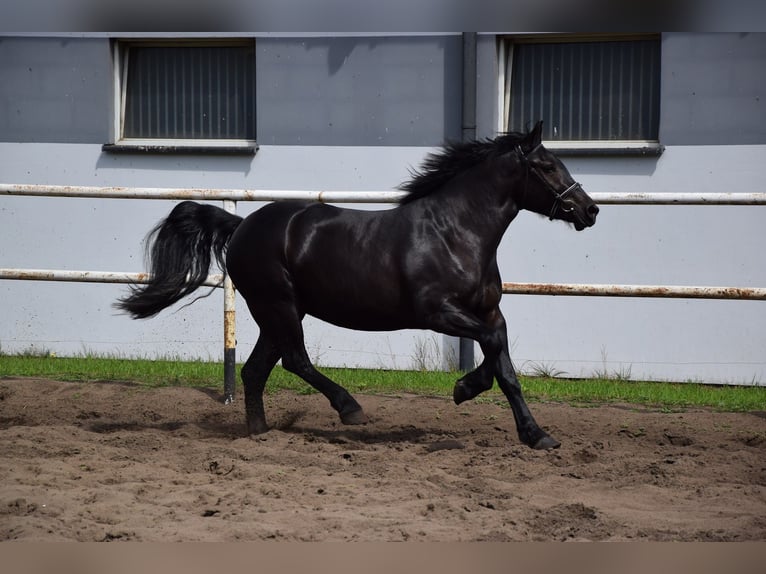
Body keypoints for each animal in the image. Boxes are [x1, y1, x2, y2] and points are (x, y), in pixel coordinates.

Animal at [116, 121, 599, 450]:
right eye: (546, 166)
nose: (589, 210)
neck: (455, 232)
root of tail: (241, 226)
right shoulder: (438, 312)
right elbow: (493, 354)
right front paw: (463, 389)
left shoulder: (491, 313)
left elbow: (506, 367)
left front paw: (537, 435)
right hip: (278, 305)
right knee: (295, 360)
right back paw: (350, 409)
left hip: (278, 312)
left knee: (256, 370)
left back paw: (261, 435)